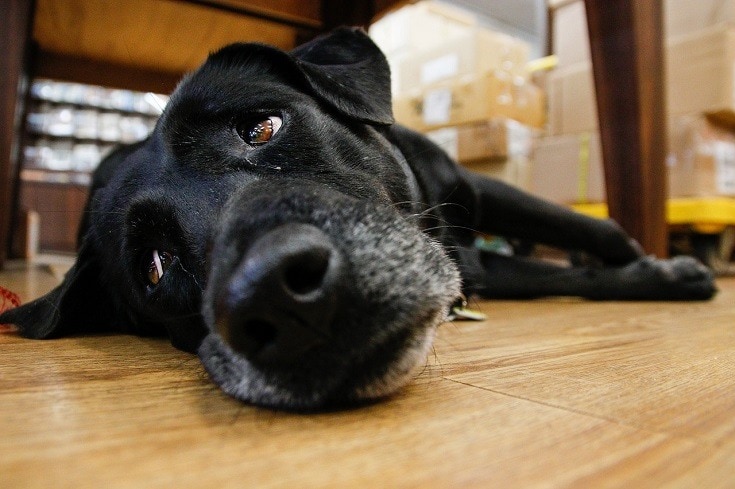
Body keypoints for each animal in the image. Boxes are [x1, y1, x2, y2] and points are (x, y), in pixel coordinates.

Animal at [0, 26, 712, 408]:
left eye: (262, 126)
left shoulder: (472, 190)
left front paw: (653, 261)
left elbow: (588, 226)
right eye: (153, 266)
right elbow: (568, 274)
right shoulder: (474, 268)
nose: (279, 299)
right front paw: (659, 274)